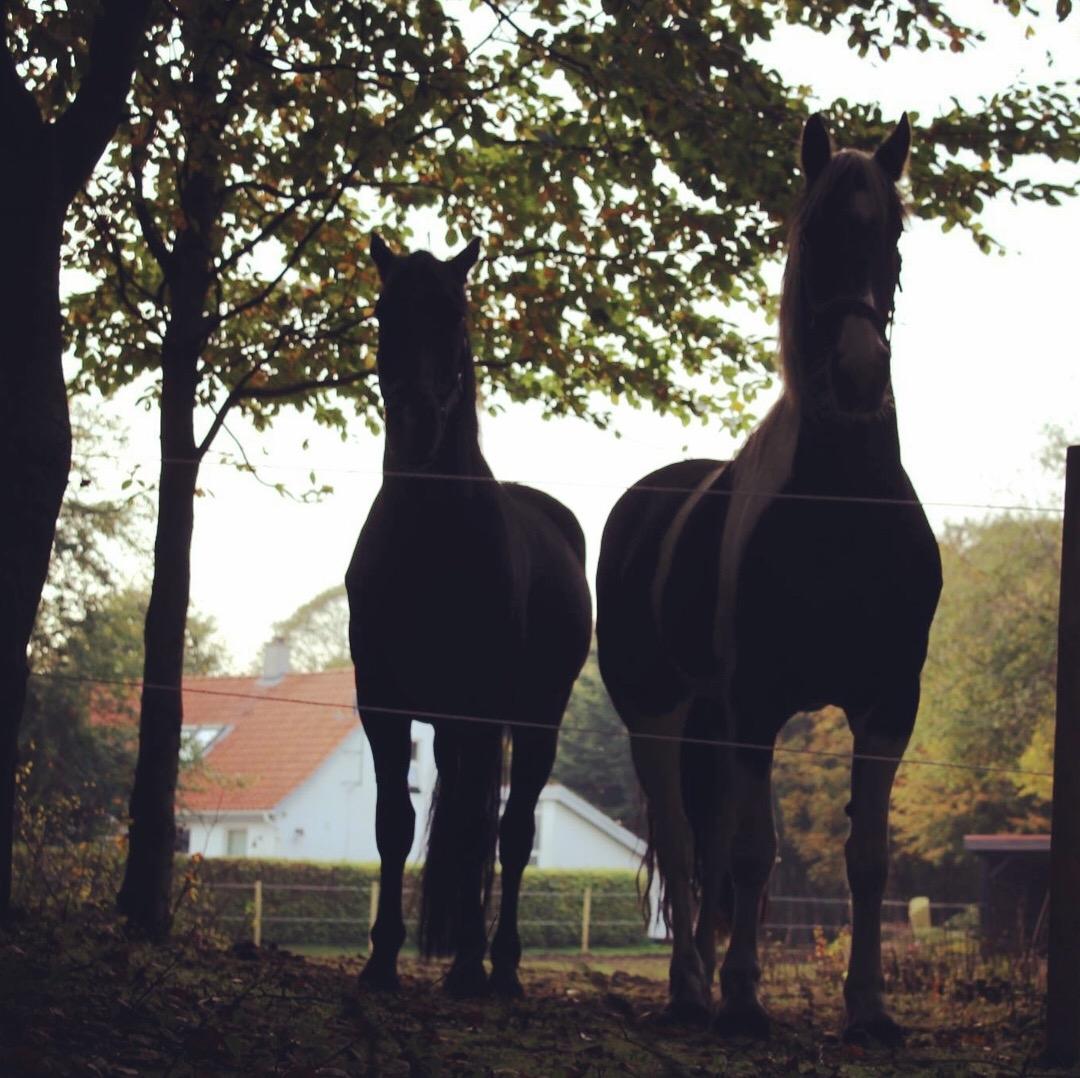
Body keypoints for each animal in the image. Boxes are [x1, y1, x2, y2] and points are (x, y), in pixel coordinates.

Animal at [347, 238, 591, 1002]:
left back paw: (498, 965)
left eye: (456, 312)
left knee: (509, 834)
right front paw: (382, 960)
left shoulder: (482, 711)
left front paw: (465, 966)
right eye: (383, 308)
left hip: (534, 722)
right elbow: (394, 825)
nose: (419, 421)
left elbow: (484, 834)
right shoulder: (384, 706)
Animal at [596, 111, 941, 1045]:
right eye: (814, 231)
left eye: (894, 233)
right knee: (688, 845)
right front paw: (746, 999)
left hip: (713, 723)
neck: (840, 504)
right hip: (661, 715)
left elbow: (867, 861)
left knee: (710, 848)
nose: (859, 372)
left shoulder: (888, 707)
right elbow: (752, 856)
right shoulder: (756, 703)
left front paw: (869, 1009)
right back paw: (691, 989)